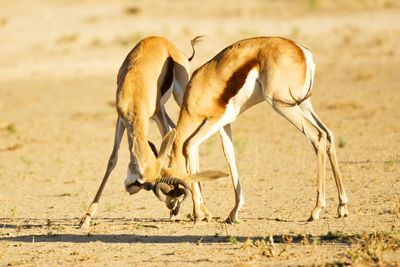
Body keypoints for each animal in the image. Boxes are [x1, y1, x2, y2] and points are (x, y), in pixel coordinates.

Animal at [77, 35, 202, 228]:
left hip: (179, 99)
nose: (129, 188)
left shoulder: (156, 113)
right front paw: (86, 218)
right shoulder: (122, 119)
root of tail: (165, 42)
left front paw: (177, 208)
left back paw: (200, 212)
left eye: (142, 183)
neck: (136, 93)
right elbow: (112, 160)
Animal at [152, 35, 348, 224]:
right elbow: (229, 155)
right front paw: (233, 213)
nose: (172, 211)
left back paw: (316, 210)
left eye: (170, 192)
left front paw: (199, 214)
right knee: (328, 134)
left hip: (282, 105)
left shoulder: (215, 120)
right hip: (303, 104)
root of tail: (301, 50)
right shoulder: (225, 124)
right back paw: (342, 206)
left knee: (318, 137)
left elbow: (189, 146)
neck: (197, 95)